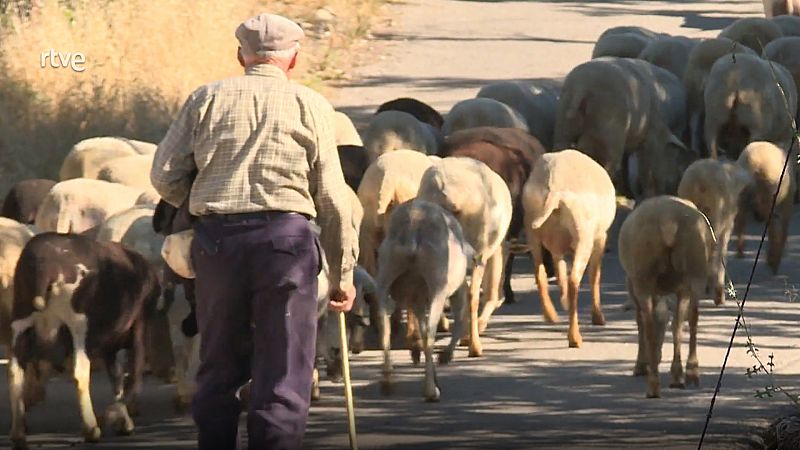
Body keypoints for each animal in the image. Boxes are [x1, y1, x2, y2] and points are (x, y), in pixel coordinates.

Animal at [520, 150, 616, 348]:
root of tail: (554, 188)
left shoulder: (557, 248)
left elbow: (560, 271)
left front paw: (563, 302)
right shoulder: (600, 239)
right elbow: (594, 277)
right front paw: (598, 318)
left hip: (533, 233)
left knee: (540, 274)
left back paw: (551, 316)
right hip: (583, 238)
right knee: (574, 281)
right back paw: (575, 338)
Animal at [616, 196, 716, 398]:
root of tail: (669, 222)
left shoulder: (633, 284)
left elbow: (646, 321)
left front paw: (643, 364)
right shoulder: (679, 288)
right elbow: (670, 321)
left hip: (643, 275)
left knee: (648, 324)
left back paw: (653, 385)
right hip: (695, 270)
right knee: (690, 319)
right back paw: (689, 373)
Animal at [680, 159, 752, 306]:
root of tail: (698, 181)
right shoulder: (726, 227)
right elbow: (722, 253)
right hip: (715, 216)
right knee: (713, 250)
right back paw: (716, 295)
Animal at [736, 142, 792, 272]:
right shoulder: (787, 200)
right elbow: (783, 230)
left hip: (742, 197)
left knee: (740, 221)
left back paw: (740, 252)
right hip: (770, 195)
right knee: (774, 230)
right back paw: (774, 262)